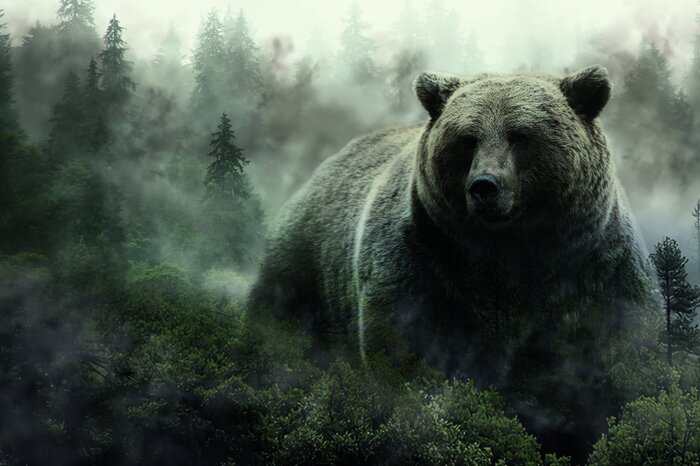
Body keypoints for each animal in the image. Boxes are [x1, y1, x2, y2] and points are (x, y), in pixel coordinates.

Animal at [249, 66, 658, 462]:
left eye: (521, 136)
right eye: (467, 138)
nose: (485, 186)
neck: (509, 251)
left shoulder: (595, 268)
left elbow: (616, 356)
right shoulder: (422, 260)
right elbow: (404, 345)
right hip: (303, 268)